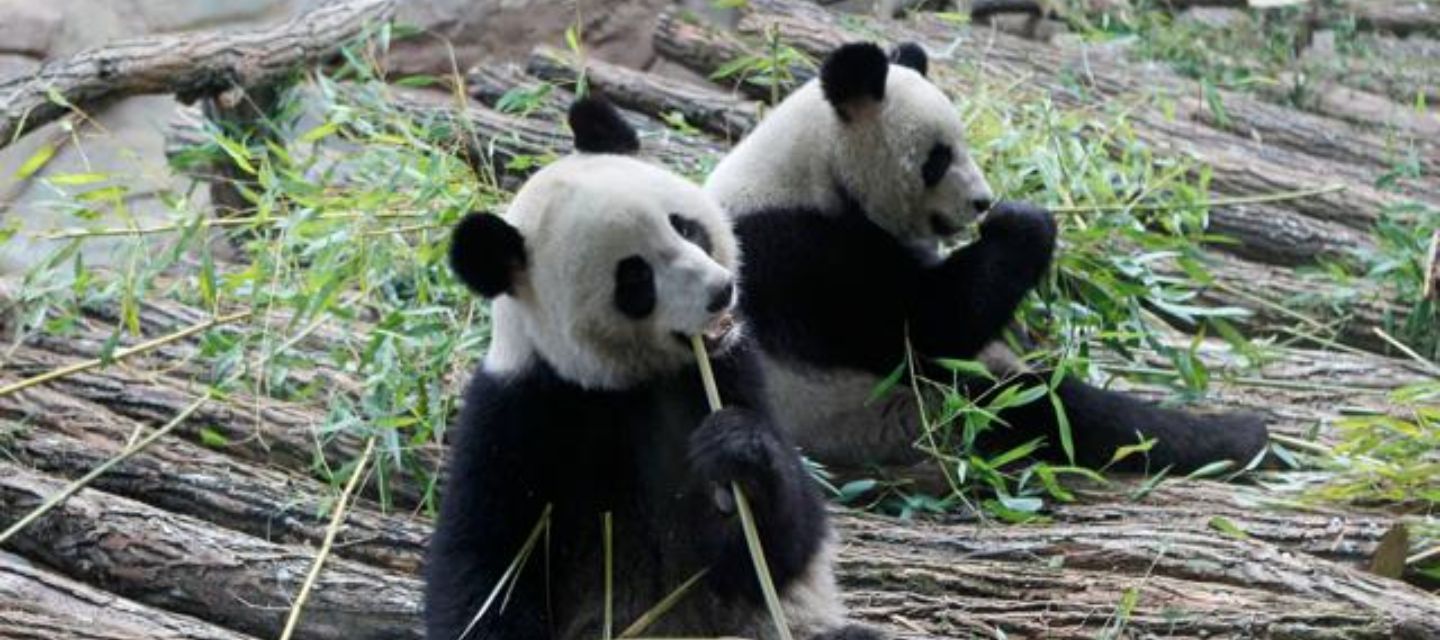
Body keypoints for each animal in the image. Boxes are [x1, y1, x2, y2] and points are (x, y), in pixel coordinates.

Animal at [425, 97, 879, 640]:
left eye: (684, 226)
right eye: (635, 278)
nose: (720, 292)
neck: (623, 382)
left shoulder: (729, 372)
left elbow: (776, 552)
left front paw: (737, 454)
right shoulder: (517, 415)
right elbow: (484, 564)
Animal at [705, 42, 1269, 473]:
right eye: (937, 158)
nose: (981, 202)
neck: (812, 168)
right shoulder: (801, 253)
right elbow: (925, 326)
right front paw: (1024, 222)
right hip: (898, 413)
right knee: (1045, 409)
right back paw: (1236, 437)